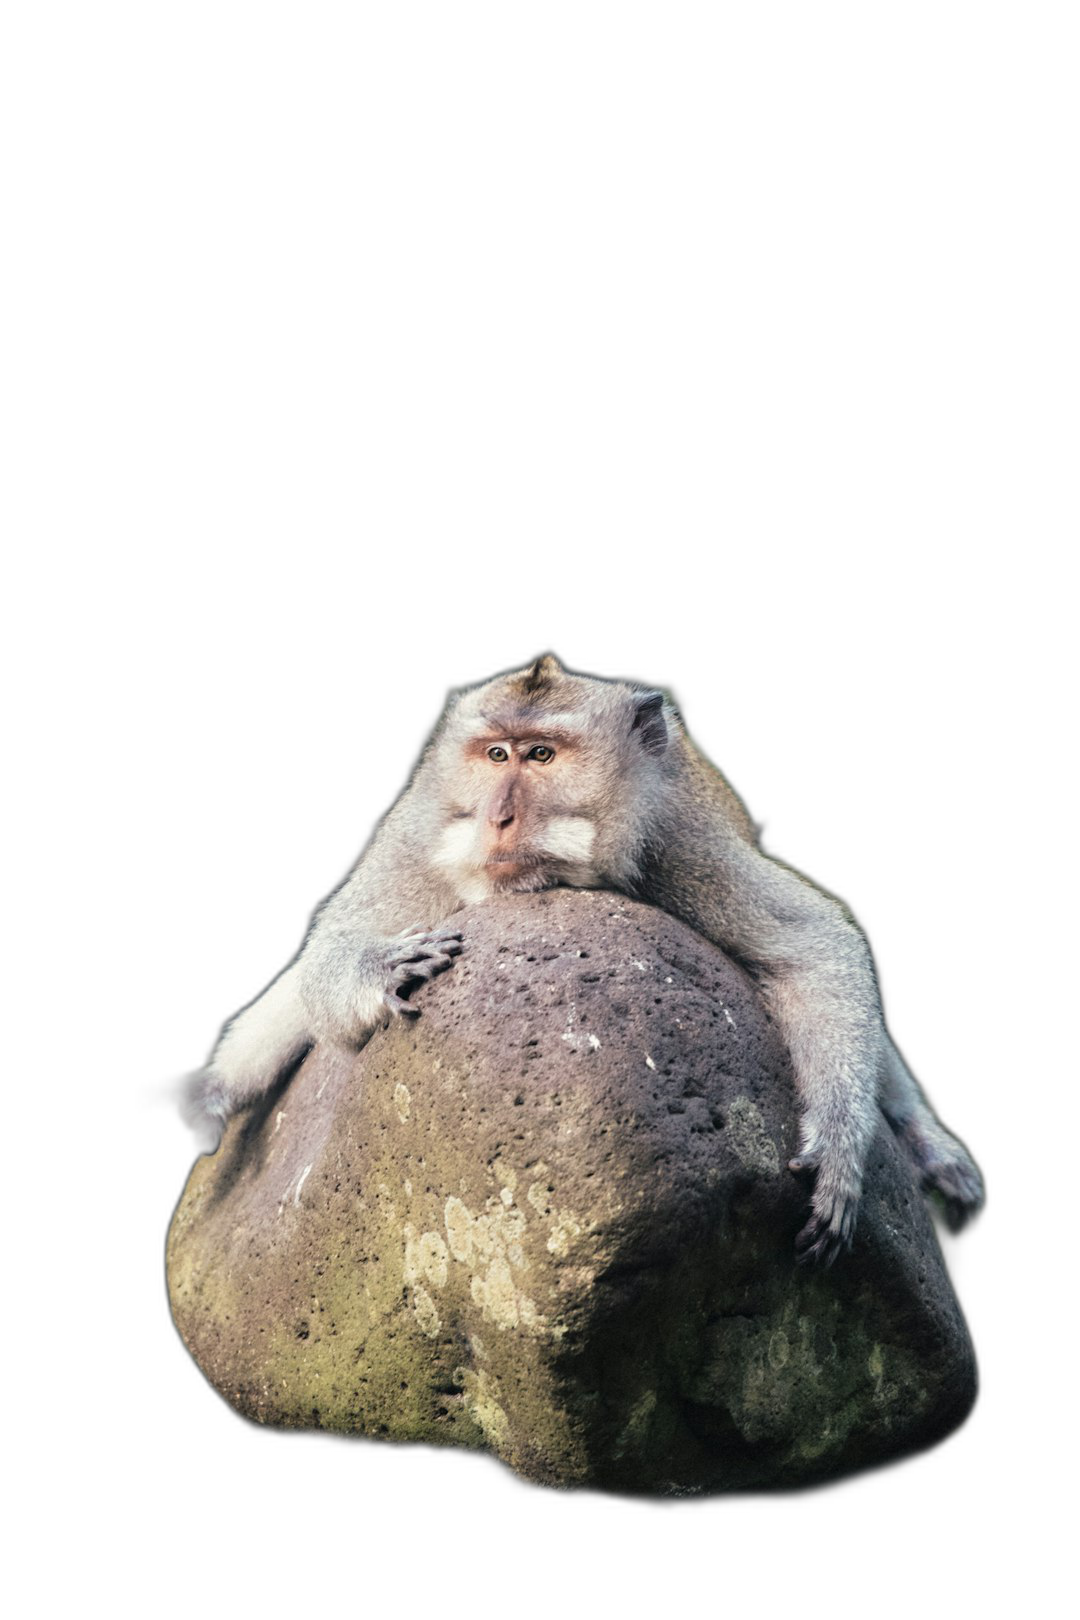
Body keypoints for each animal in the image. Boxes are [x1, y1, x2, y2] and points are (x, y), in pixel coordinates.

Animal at [181, 657, 984, 1263]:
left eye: (542, 755)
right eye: (495, 754)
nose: (499, 816)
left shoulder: (679, 843)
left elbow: (817, 946)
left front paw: (841, 1155)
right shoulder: (418, 835)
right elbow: (325, 963)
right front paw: (376, 971)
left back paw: (923, 1142)